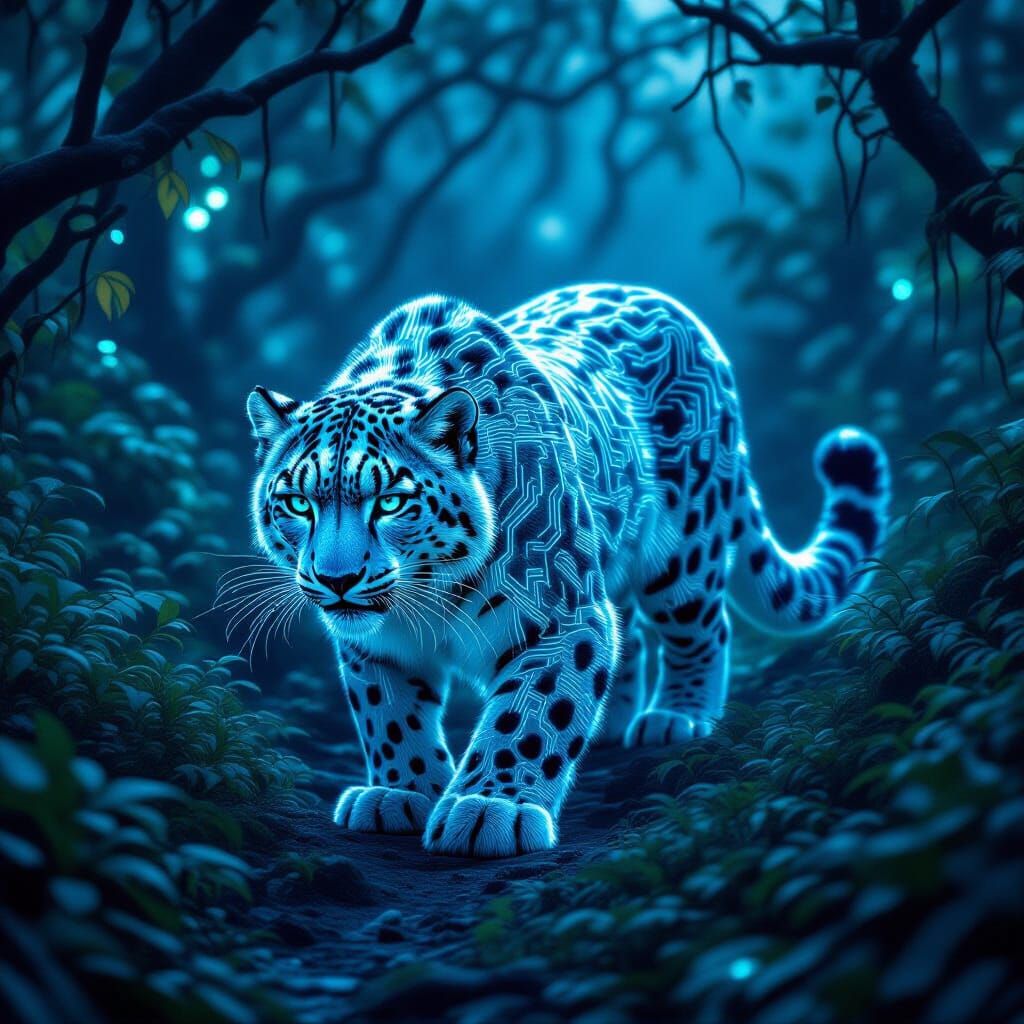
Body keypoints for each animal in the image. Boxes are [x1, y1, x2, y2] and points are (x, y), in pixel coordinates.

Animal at [245, 284, 889, 858]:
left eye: (391, 502)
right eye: (298, 502)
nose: (337, 579)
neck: (428, 600)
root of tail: (678, 310)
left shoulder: (562, 615)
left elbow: (530, 714)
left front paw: (489, 809)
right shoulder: (374, 647)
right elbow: (390, 717)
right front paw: (402, 794)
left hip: (685, 549)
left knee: (700, 628)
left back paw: (677, 716)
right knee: (630, 634)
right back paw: (612, 723)